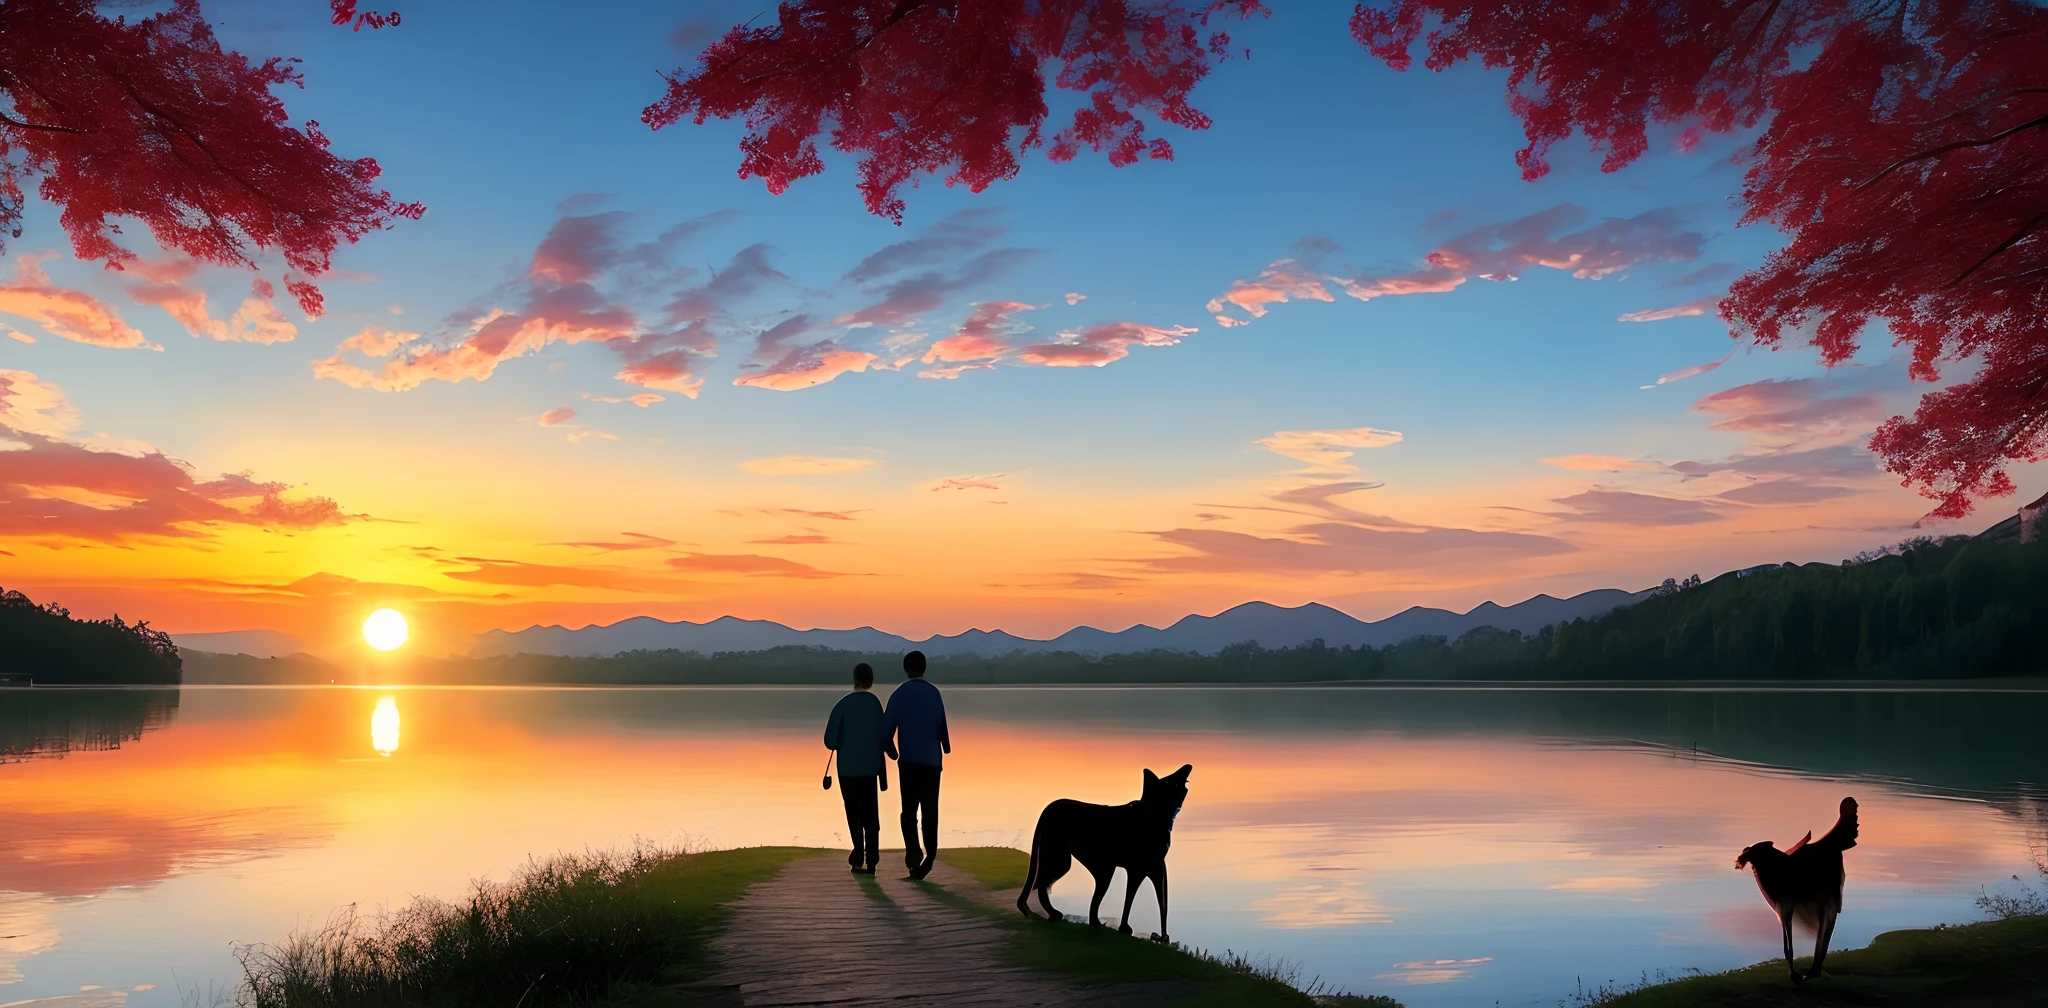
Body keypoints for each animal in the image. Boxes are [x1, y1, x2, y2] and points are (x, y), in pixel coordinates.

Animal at [1019, 766, 1196, 942]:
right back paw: (1061, 916)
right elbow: (1145, 900)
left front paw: (1159, 936)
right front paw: (1143, 933)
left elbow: (1147, 899)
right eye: (1168, 780)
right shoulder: (1144, 868)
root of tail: (1047, 810)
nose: (1188, 766)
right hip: (1072, 863)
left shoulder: (1148, 868)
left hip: (1095, 867)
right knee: (1042, 885)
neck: (1155, 811)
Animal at [1736, 794, 1867, 983]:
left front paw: (1796, 974)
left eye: (1756, 850)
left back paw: (1813, 970)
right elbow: (1788, 945)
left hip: (1825, 897)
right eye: (1748, 852)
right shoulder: (1785, 904)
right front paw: (1797, 973)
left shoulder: (1786, 903)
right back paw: (1814, 970)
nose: (1740, 858)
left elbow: (1789, 945)